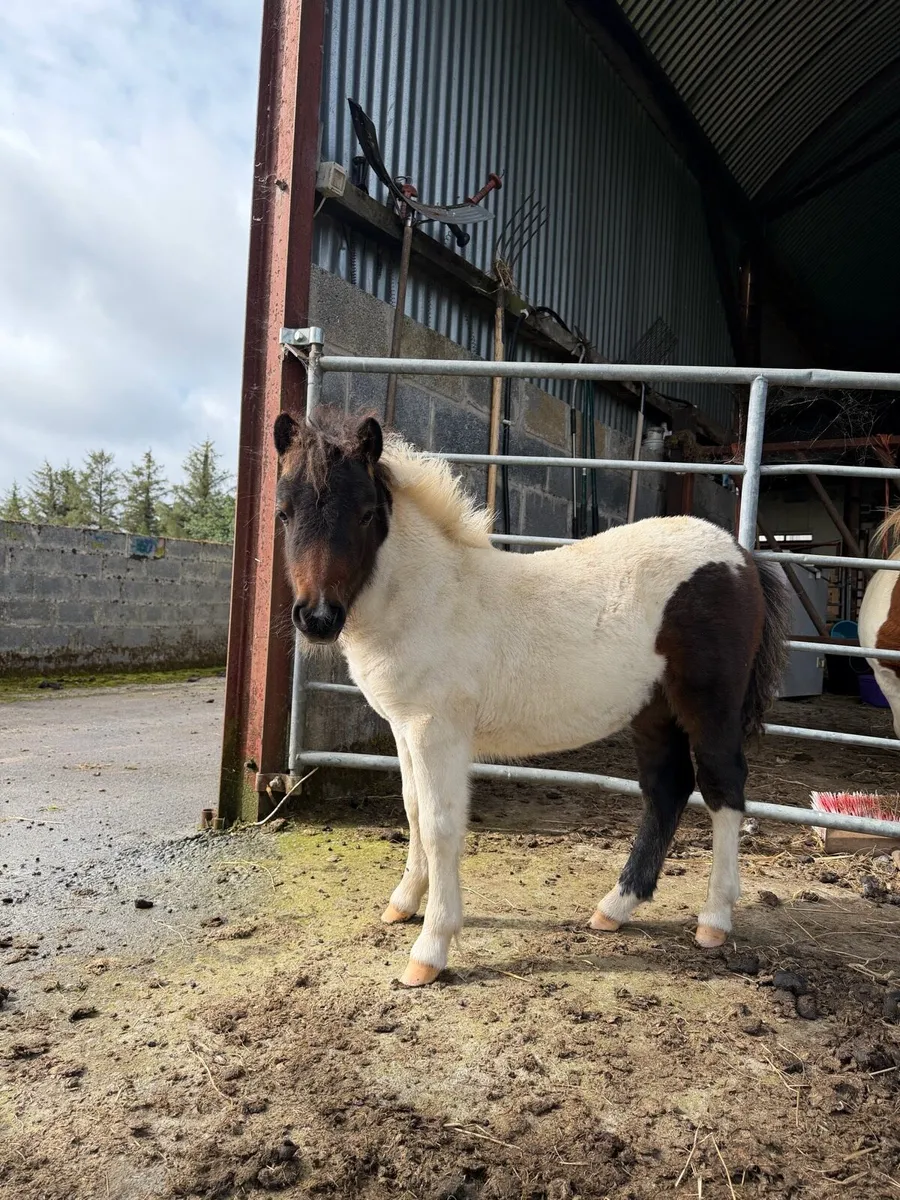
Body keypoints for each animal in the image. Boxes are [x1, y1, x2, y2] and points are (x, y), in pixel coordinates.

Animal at [273, 407, 790, 987]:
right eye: (283, 513)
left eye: (365, 515)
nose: (318, 618)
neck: (428, 598)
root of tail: (741, 555)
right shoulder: (404, 728)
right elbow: (413, 810)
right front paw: (403, 903)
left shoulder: (436, 731)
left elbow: (440, 824)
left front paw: (430, 949)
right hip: (653, 710)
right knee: (667, 788)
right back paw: (615, 907)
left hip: (709, 705)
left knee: (723, 788)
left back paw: (714, 919)